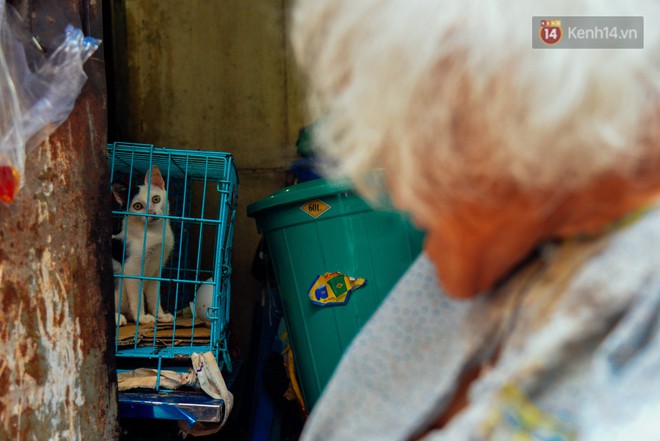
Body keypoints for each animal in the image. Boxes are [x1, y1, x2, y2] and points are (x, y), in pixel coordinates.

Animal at [113, 165, 175, 326]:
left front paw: (160, 315)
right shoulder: (132, 269)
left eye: (156, 199)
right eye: (137, 206)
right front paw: (142, 317)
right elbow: (138, 296)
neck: (153, 233)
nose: (152, 213)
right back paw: (118, 317)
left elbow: (154, 296)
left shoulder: (155, 270)